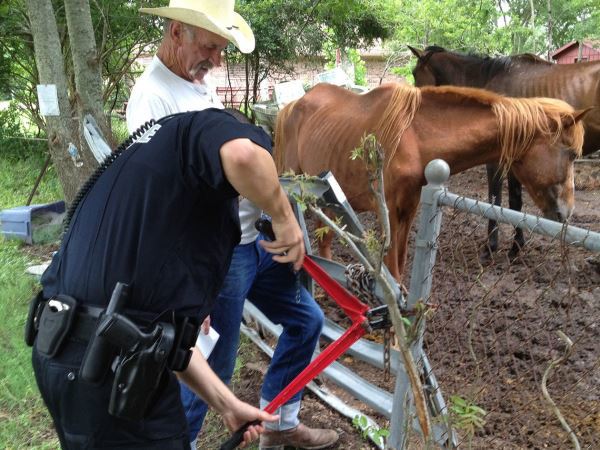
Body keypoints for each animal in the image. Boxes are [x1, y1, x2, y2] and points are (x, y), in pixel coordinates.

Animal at [276, 83, 584, 282]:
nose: (566, 212)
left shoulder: (409, 210)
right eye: (571, 154)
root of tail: (293, 106)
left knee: (324, 241)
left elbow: (400, 261)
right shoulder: (389, 212)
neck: (411, 137)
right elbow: (392, 265)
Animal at [408, 46, 600, 256]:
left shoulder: (498, 161)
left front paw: (492, 246)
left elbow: (496, 199)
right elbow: (515, 202)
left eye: (415, 73)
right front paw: (516, 245)